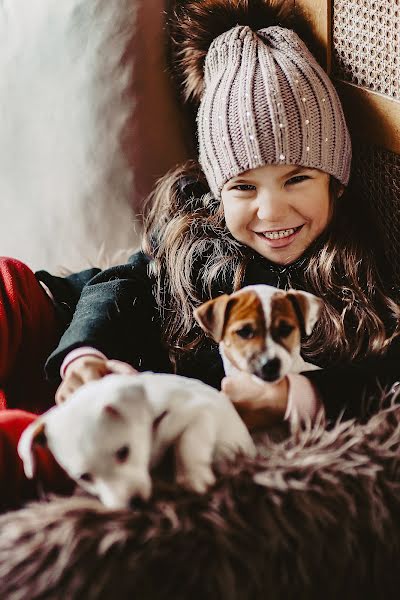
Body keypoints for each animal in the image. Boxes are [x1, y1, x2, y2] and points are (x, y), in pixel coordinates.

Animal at [18, 372, 253, 508]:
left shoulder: (201, 410)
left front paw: (193, 477)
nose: (134, 504)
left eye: (124, 452)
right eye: (84, 477)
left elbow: (189, 443)